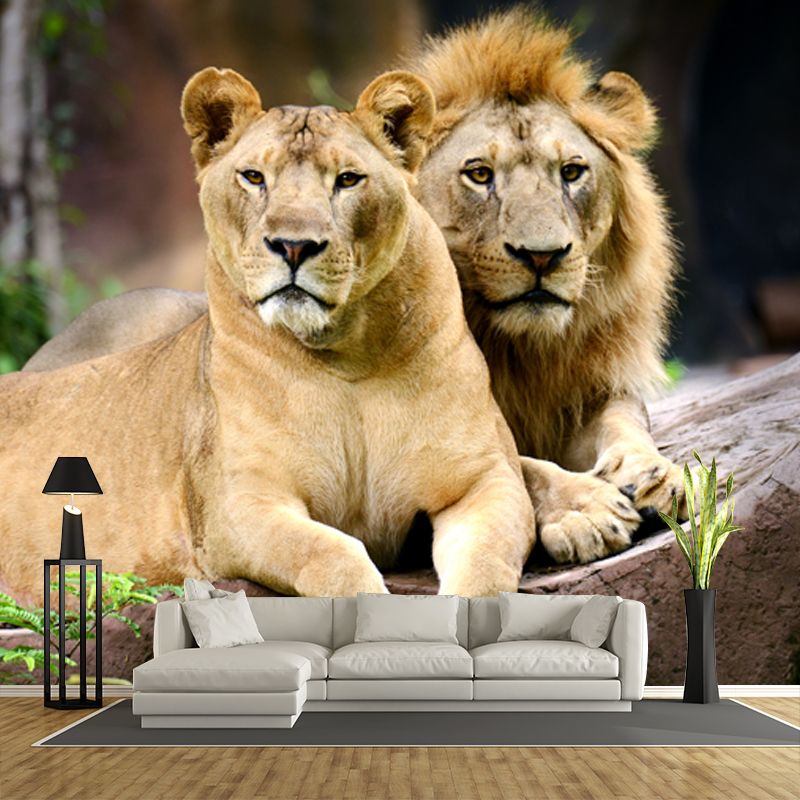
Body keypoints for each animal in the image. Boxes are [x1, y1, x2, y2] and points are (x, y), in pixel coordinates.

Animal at [1, 67, 535, 604]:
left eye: (347, 180)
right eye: (254, 177)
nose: (294, 245)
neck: (349, 353)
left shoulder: (486, 479)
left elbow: (486, 570)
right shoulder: (239, 505)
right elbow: (333, 557)